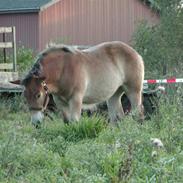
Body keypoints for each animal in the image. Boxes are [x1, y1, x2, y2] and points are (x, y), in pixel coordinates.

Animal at [12, 41, 145, 125]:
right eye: (25, 96)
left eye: (38, 95)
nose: (36, 123)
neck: (63, 69)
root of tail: (136, 54)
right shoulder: (60, 102)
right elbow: (67, 122)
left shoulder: (75, 99)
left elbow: (75, 122)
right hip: (114, 95)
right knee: (117, 118)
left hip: (134, 91)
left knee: (138, 113)